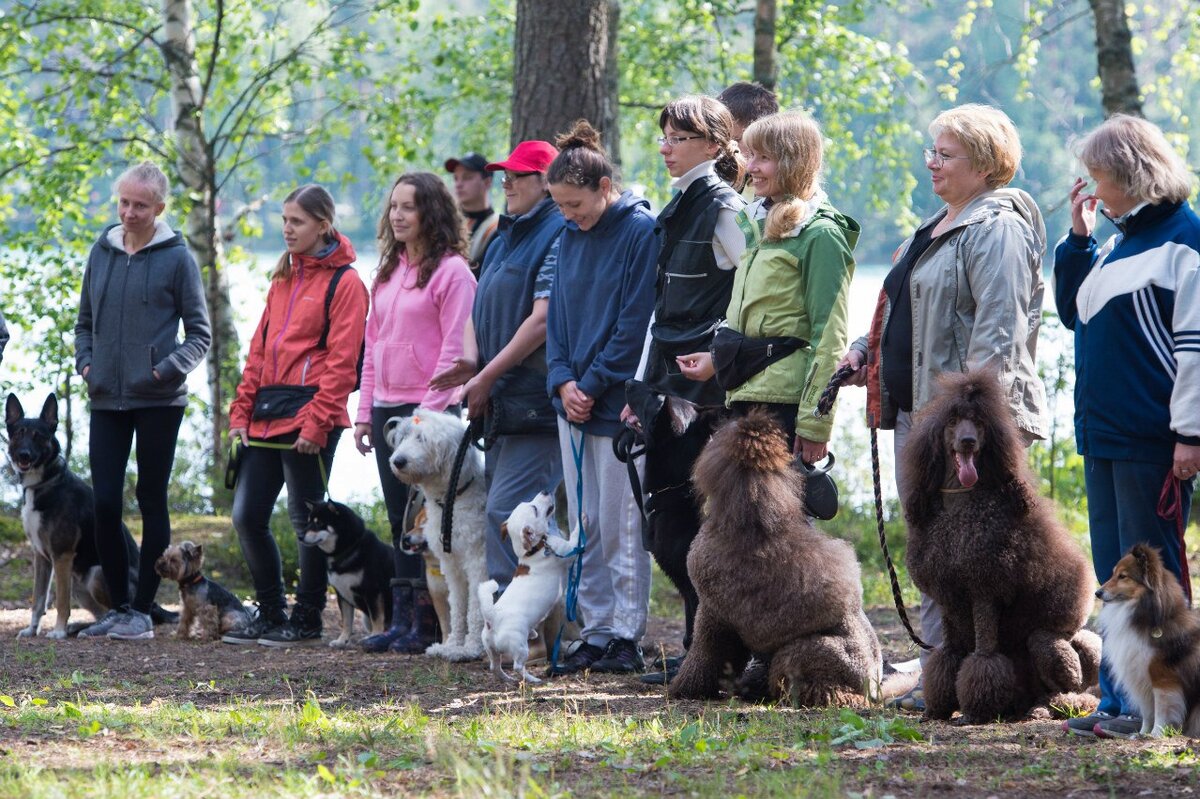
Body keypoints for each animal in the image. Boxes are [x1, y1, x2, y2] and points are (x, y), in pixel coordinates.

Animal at [4, 391, 175, 633]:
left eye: (39, 437)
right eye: (19, 434)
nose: (24, 455)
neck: (46, 482)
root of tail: (155, 605)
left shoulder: (62, 555)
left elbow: (61, 602)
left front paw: (57, 632)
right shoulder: (41, 557)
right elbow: (38, 599)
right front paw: (32, 630)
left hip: (96, 574)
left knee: (116, 609)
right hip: (78, 585)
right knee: (100, 614)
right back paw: (81, 627)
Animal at [302, 499, 396, 647]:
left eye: (319, 523)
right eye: (308, 522)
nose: (300, 536)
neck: (348, 549)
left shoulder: (373, 592)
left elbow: (377, 618)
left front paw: (375, 636)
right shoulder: (342, 594)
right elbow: (346, 621)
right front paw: (342, 640)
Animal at [384, 407, 487, 657]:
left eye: (423, 438)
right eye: (404, 437)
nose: (397, 461)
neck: (452, 500)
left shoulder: (477, 562)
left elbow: (475, 609)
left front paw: (470, 648)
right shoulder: (453, 566)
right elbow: (457, 607)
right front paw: (452, 645)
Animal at [477, 489, 580, 681]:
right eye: (534, 508)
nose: (545, 491)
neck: (532, 551)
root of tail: (492, 618)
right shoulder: (569, 550)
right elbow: (577, 536)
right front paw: (582, 517)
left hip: (492, 650)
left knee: (495, 667)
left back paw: (507, 678)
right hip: (520, 647)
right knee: (518, 667)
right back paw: (533, 679)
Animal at [1099, 542, 1200, 734]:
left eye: (1122, 576)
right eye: (1114, 574)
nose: (1097, 593)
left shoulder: (1162, 678)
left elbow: (1162, 710)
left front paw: (1156, 734)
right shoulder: (1139, 678)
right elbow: (1147, 712)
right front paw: (1141, 734)